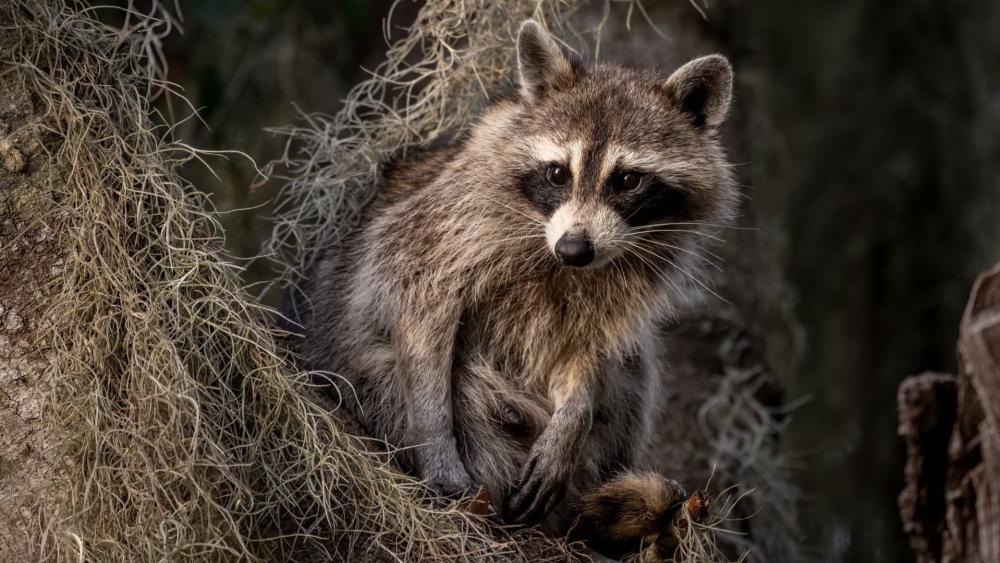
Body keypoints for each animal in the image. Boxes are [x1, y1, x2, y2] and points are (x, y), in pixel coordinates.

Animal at [300, 20, 736, 555]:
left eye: (628, 180)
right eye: (557, 172)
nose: (574, 249)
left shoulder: (618, 285)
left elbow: (587, 352)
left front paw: (572, 418)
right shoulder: (444, 228)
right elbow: (420, 310)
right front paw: (435, 441)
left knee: (634, 371)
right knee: (425, 391)